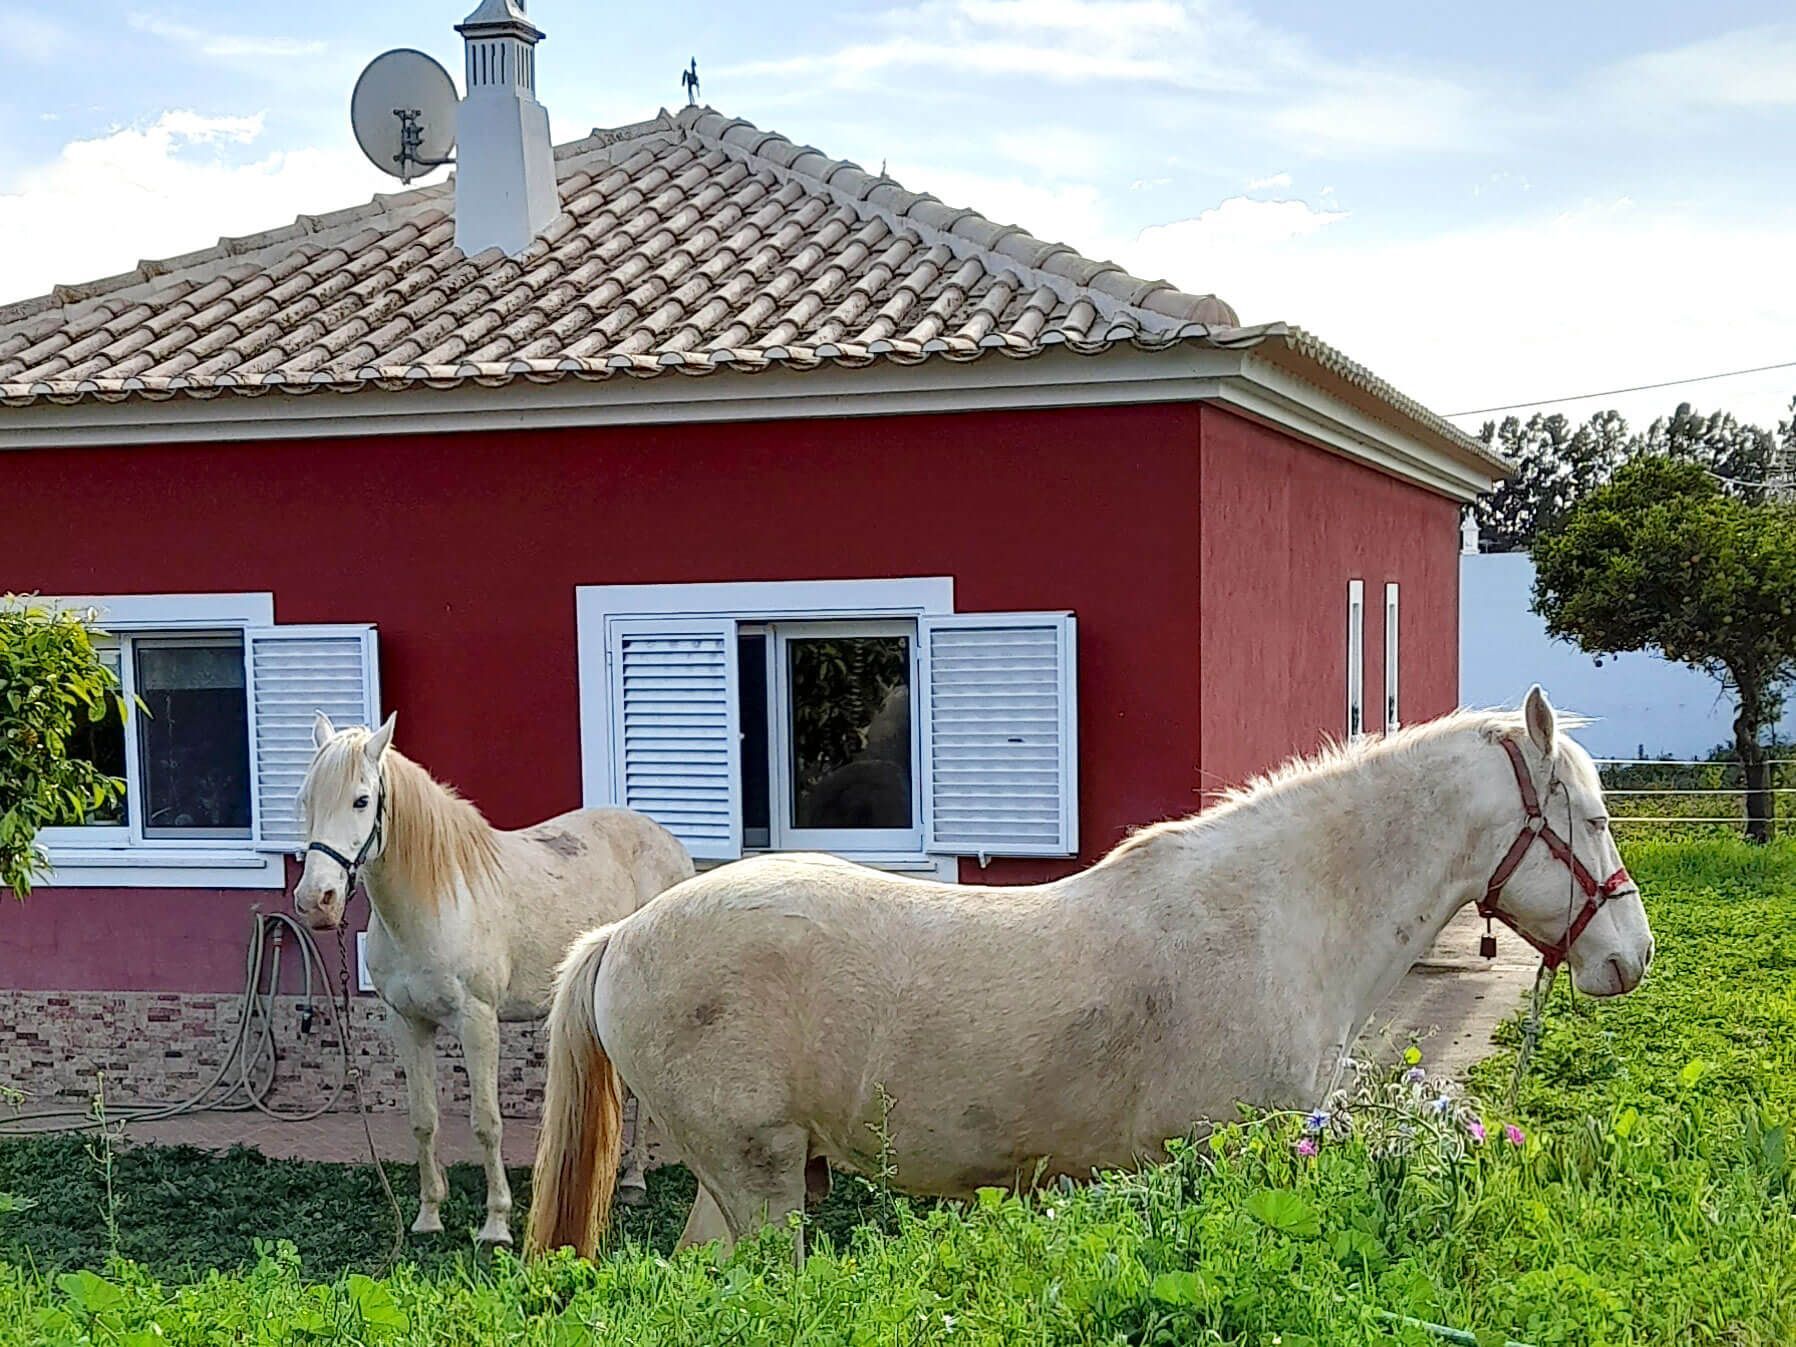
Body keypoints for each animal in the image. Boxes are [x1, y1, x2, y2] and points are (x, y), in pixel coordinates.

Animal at [293, 712, 694, 1245]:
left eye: (361, 799)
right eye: (306, 800)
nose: (316, 901)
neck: (435, 900)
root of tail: (669, 842)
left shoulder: (477, 1021)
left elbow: (487, 1122)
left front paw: (496, 1225)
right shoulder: (407, 1023)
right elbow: (423, 1120)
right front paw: (428, 1215)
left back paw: (634, 1179)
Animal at [525, 687, 1654, 1260]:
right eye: (1594, 818)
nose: (1629, 955)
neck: (1273, 912)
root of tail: (621, 937)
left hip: (742, 1185)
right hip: (755, 1185)